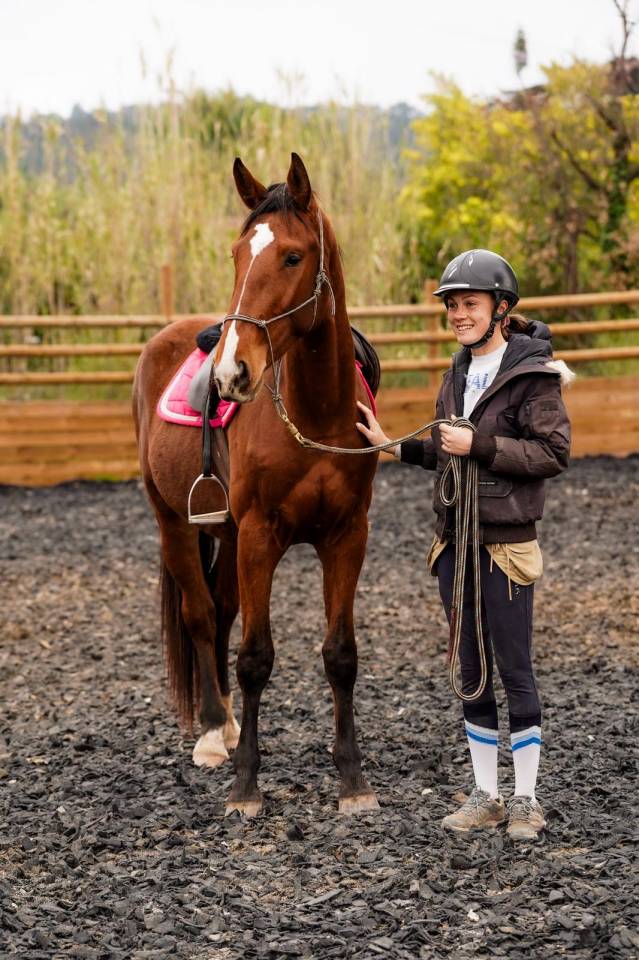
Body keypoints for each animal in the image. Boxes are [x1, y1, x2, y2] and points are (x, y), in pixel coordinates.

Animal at [133, 153, 380, 816]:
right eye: (237, 254)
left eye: (293, 257)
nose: (231, 372)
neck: (314, 414)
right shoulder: (261, 536)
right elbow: (255, 659)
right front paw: (246, 787)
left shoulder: (347, 536)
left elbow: (340, 655)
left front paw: (352, 780)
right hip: (174, 523)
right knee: (198, 615)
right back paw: (213, 734)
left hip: (226, 534)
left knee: (219, 613)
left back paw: (226, 726)